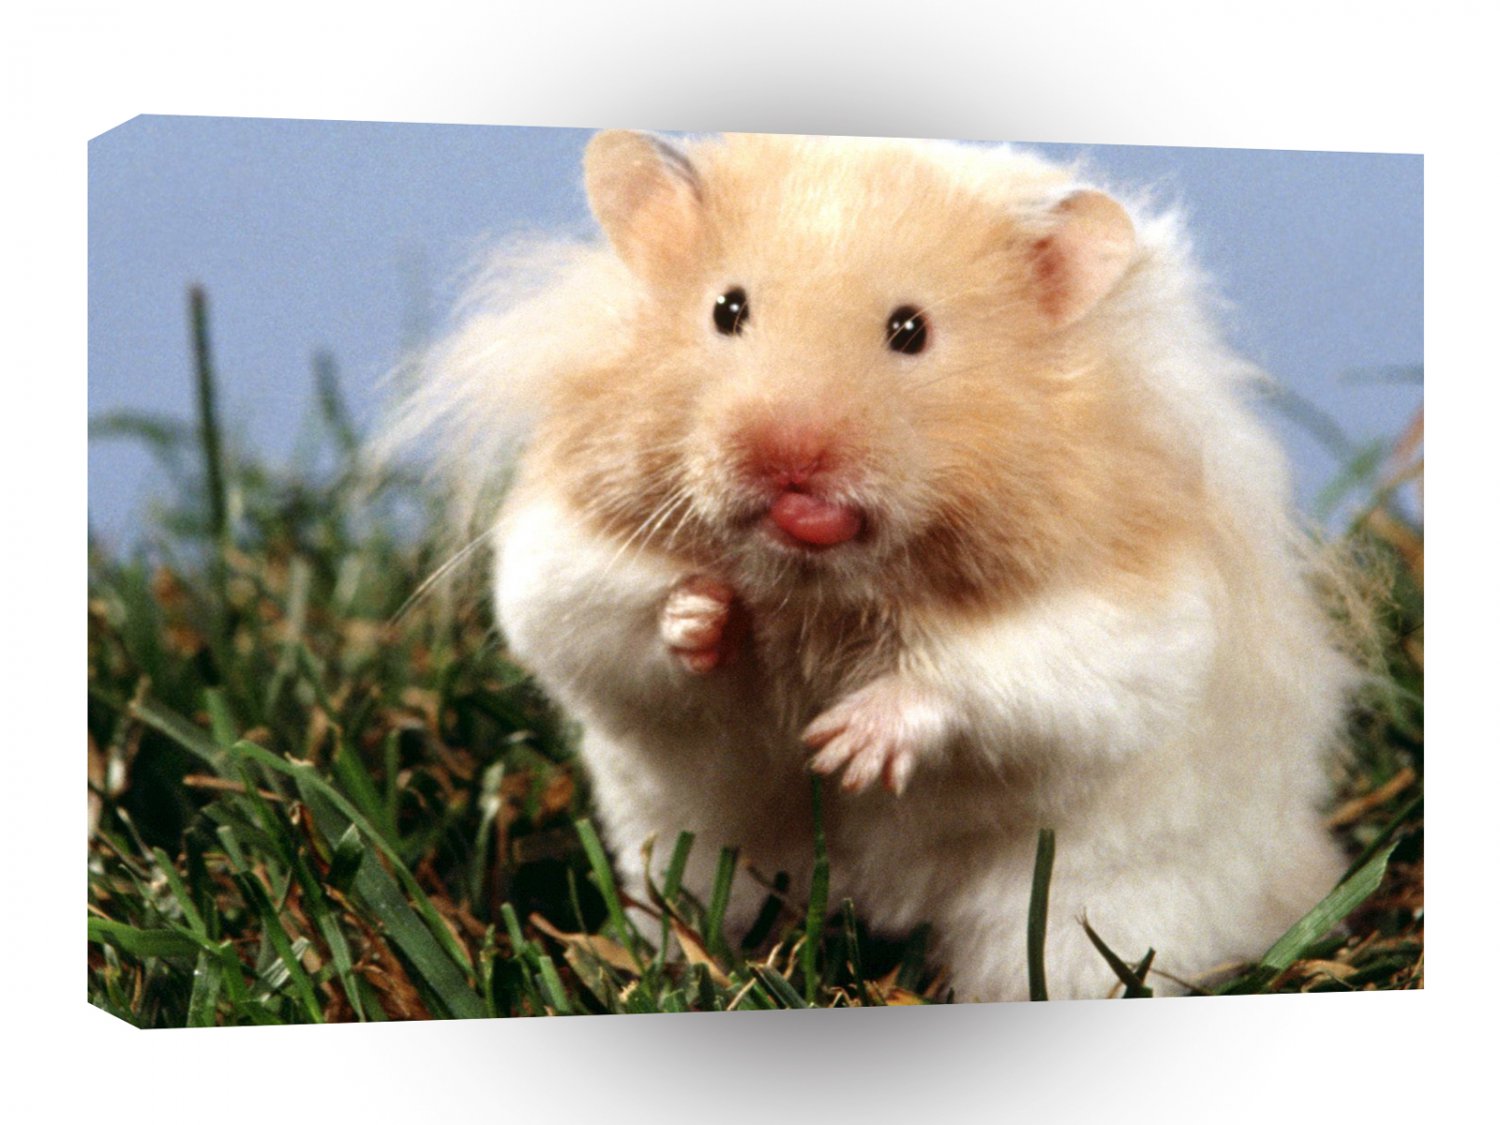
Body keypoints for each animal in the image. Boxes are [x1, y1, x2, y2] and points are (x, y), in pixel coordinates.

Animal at [399, 130, 1356, 1002]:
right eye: (727, 310)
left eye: (910, 332)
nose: (788, 462)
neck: (818, 586)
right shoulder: (557, 553)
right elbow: (597, 621)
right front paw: (703, 613)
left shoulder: (1118, 620)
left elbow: (989, 678)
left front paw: (845, 747)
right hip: (691, 854)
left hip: (1098, 909)